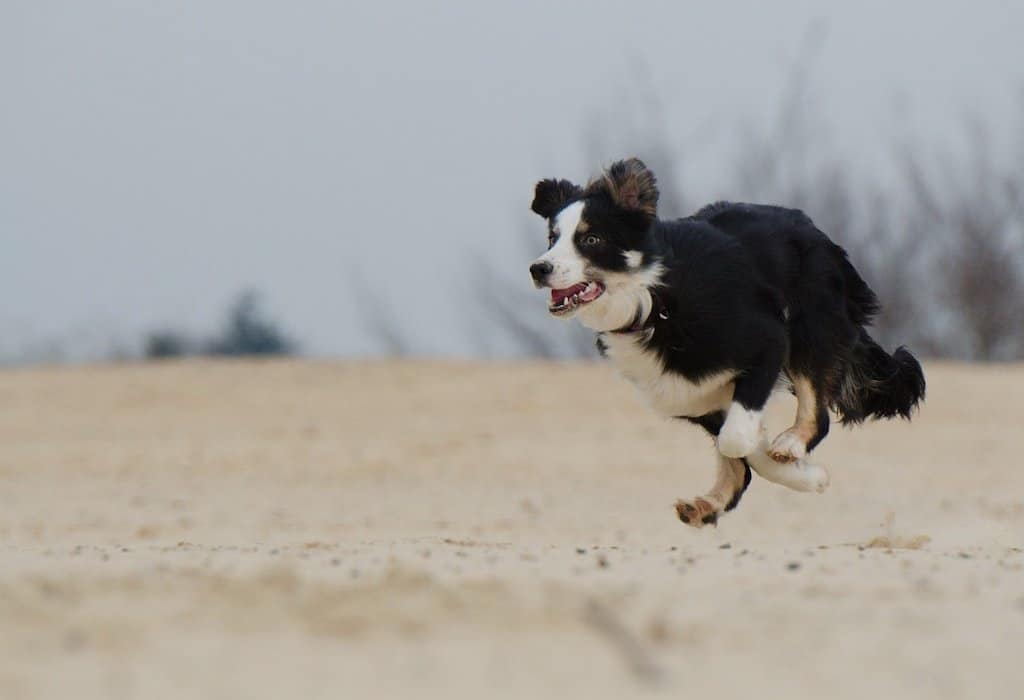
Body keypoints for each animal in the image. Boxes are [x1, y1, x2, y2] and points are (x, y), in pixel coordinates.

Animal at [532, 158, 925, 523]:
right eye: (552, 238)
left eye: (590, 239)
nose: (538, 269)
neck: (654, 302)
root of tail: (814, 230)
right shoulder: (683, 393)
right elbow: (739, 447)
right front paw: (805, 475)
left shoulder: (767, 342)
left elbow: (736, 438)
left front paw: (805, 472)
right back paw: (706, 504)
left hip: (809, 328)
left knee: (816, 409)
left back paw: (790, 444)